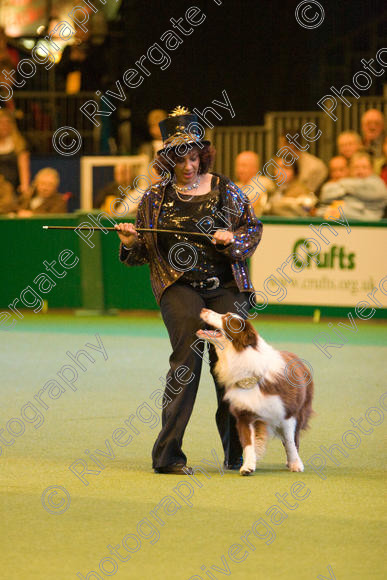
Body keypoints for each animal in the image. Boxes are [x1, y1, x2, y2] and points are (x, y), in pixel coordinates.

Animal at [197, 308, 316, 476]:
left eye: (226, 318)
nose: (203, 309)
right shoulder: (245, 413)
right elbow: (248, 443)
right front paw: (247, 466)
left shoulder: (287, 413)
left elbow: (290, 442)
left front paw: (296, 464)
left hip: (300, 410)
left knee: (294, 438)